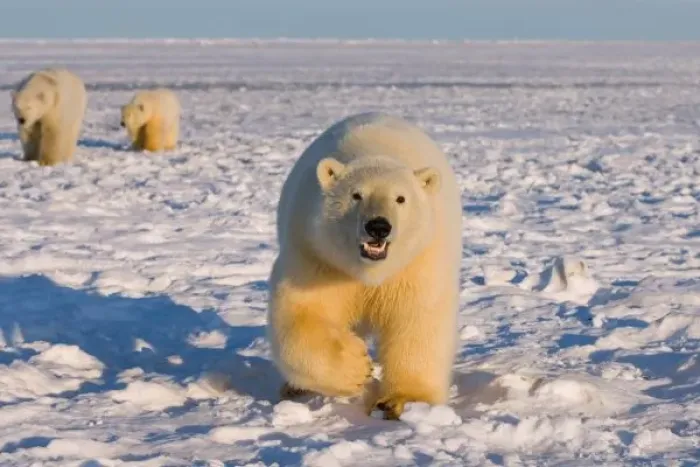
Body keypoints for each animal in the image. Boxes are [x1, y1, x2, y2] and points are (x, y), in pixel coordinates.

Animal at [267, 112, 463, 420]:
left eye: (401, 198)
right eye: (356, 195)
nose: (378, 227)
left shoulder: (418, 261)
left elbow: (418, 318)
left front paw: (403, 401)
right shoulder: (319, 255)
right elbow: (301, 313)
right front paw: (357, 366)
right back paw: (294, 388)